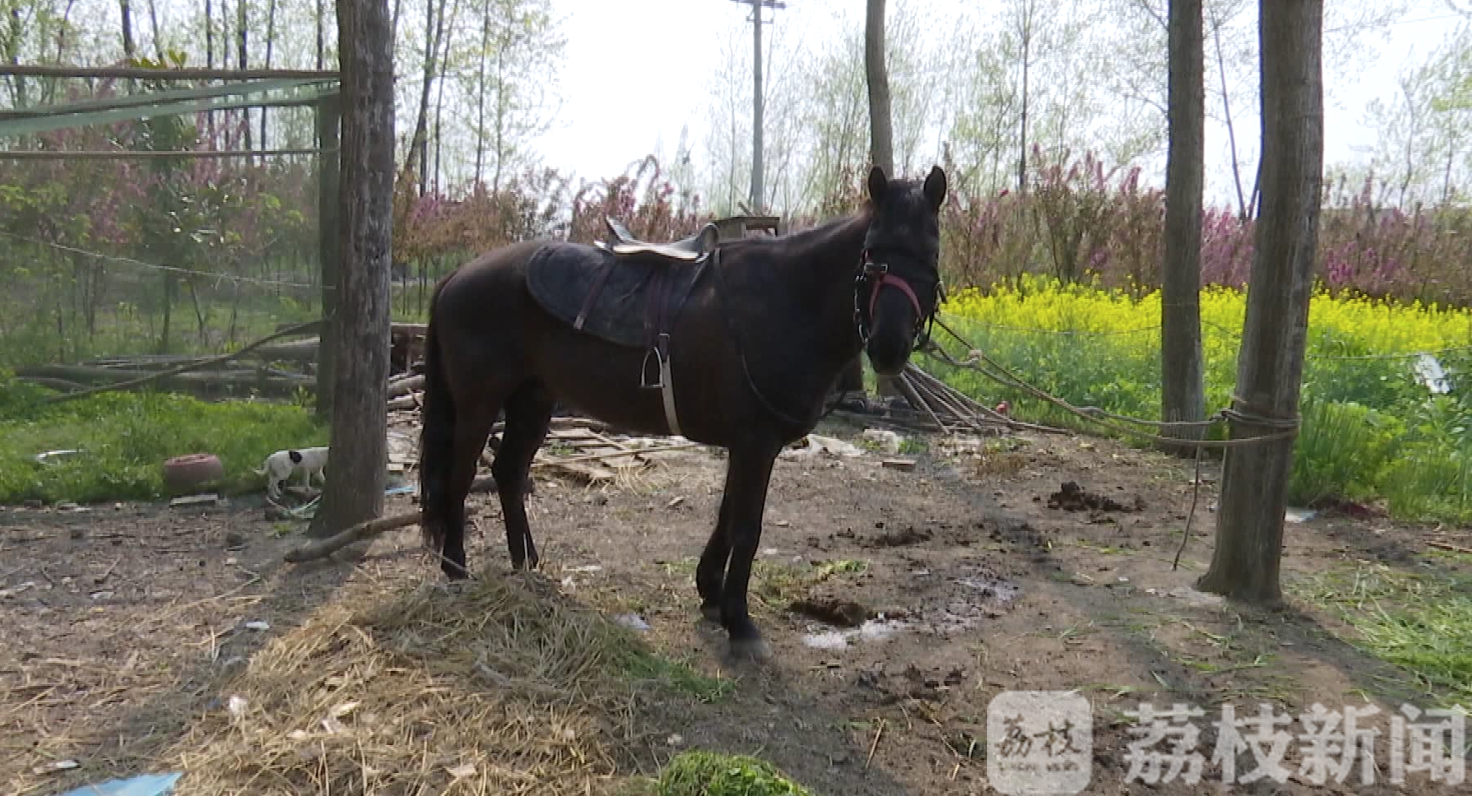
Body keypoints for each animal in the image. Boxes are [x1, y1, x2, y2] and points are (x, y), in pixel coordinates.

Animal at [418, 164, 947, 662]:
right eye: (873, 253)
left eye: (929, 253)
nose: (889, 346)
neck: (785, 300)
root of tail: (456, 277)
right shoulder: (755, 443)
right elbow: (746, 528)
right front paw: (740, 622)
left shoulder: (749, 444)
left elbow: (728, 516)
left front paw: (711, 593)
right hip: (480, 403)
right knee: (461, 478)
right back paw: (456, 567)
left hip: (533, 400)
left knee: (508, 472)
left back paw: (525, 563)